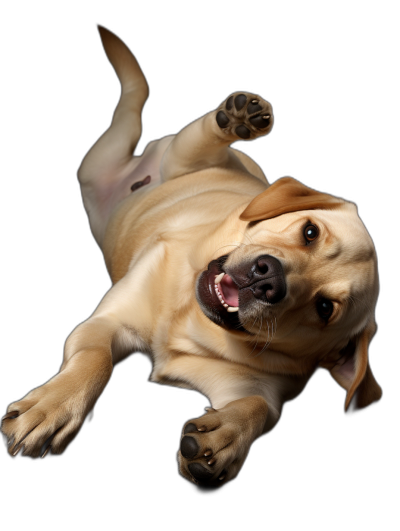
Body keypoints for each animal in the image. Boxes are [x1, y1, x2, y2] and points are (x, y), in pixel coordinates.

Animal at [1, 28, 380, 486]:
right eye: (310, 232)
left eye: (325, 308)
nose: (267, 278)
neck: (191, 314)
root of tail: (142, 165)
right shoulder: (104, 323)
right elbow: (95, 359)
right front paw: (54, 407)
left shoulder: (254, 387)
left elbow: (258, 408)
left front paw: (225, 437)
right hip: (141, 153)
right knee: (157, 112)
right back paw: (239, 117)